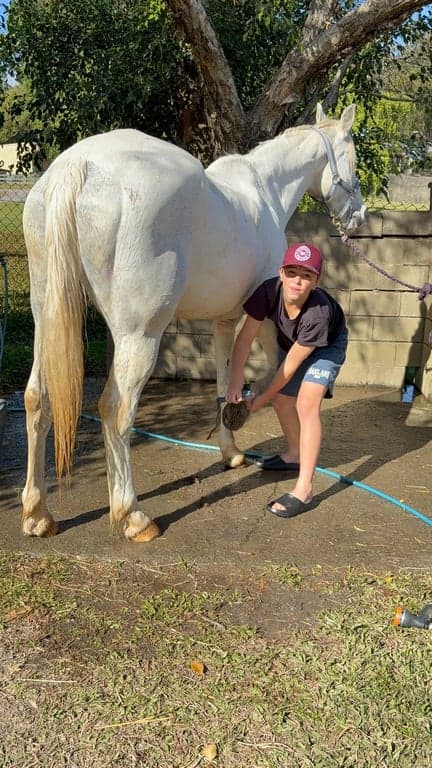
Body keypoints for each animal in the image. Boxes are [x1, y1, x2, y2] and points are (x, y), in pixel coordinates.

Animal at [21, 102, 366, 543]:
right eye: (352, 157)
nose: (358, 216)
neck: (265, 191)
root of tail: (77, 165)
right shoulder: (266, 319)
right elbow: (275, 374)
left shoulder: (225, 320)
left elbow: (224, 383)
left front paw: (231, 452)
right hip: (139, 336)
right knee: (116, 409)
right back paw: (133, 516)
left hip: (46, 320)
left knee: (38, 398)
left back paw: (38, 514)